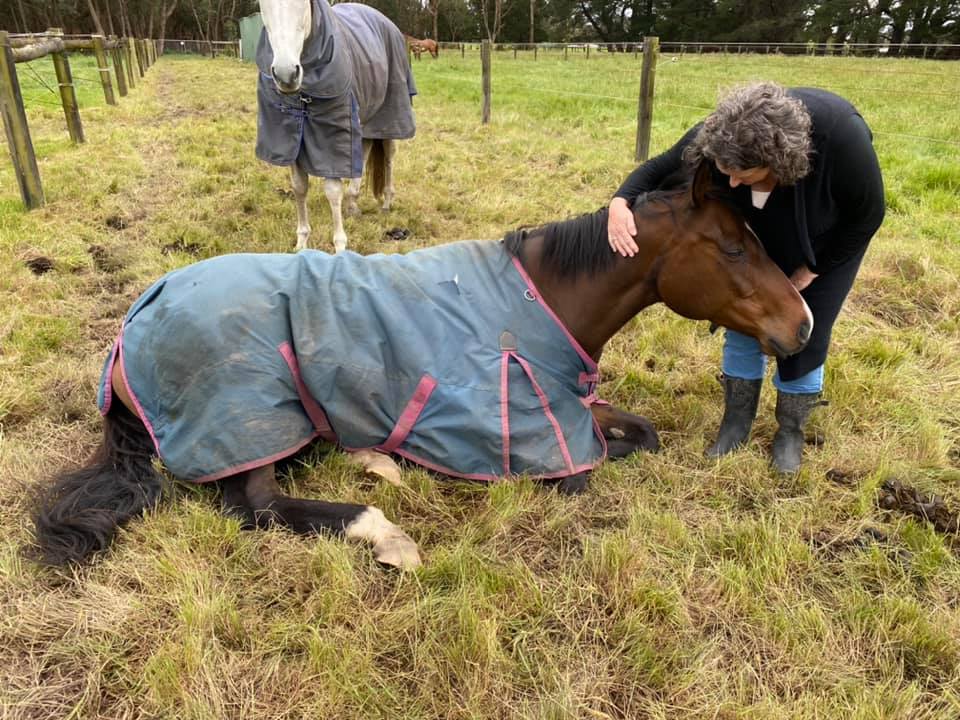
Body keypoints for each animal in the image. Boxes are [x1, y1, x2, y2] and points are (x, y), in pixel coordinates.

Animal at [30, 162, 808, 568]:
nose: (802, 324)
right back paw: (388, 533)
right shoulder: (533, 434)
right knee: (256, 507)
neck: (541, 298)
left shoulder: (573, 402)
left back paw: (379, 458)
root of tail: (132, 324)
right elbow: (589, 467)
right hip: (250, 418)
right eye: (734, 247)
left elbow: (643, 434)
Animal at [255, 0, 416, 253]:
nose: (286, 74)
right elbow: (299, 187)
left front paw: (340, 247)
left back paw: (387, 203)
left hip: (389, 117)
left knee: (389, 156)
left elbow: (332, 191)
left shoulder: (332, 139)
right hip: (362, 120)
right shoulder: (292, 139)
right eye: (261, 4)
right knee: (365, 148)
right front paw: (302, 242)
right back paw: (352, 202)